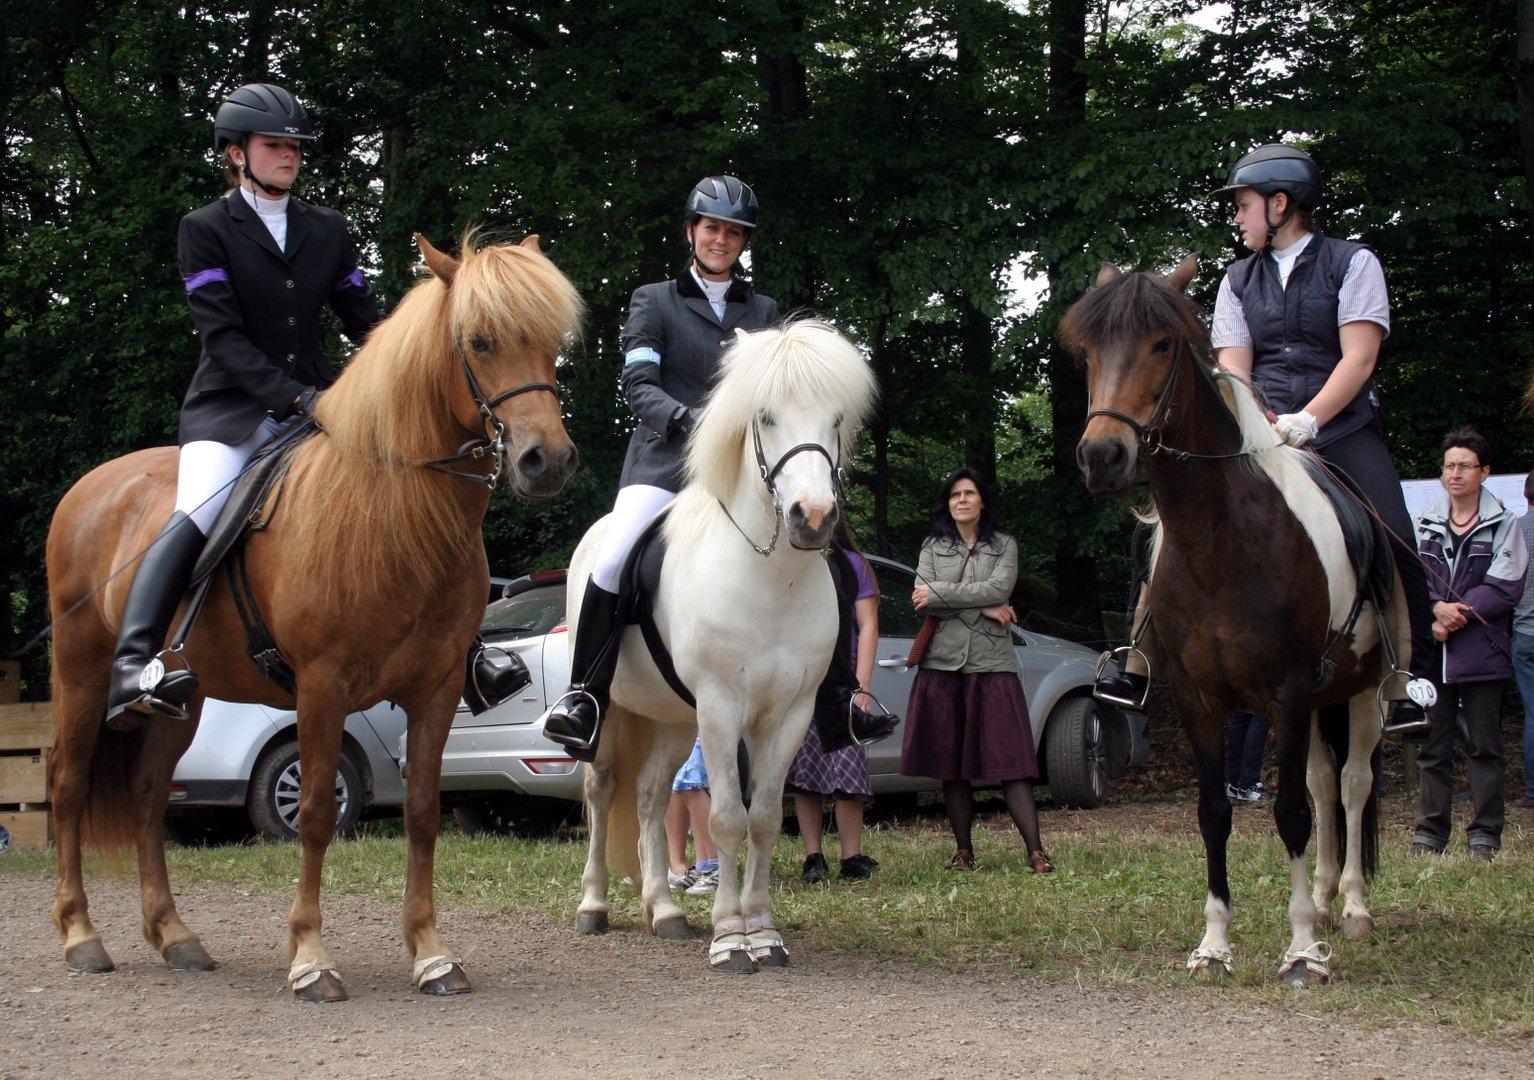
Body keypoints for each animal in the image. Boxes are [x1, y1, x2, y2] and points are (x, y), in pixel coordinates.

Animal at [43, 234, 579, 1006]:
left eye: (553, 344)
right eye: (479, 341)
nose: (548, 461)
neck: (390, 511)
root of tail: (90, 488)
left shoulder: (437, 689)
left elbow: (423, 812)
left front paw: (431, 954)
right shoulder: (323, 690)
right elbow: (320, 815)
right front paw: (310, 958)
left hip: (184, 701)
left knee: (147, 796)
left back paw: (175, 937)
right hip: (82, 676)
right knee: (67, 788)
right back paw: (82, 937)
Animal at [570, 319, 877, 969]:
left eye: (836, 419)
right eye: (766, 416)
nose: (813, 517)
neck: (770, 578)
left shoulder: (789, 714)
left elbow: (763, 818)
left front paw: (762, 930)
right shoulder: (719, 706)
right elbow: (728, 818)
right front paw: (731, 938)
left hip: (670, 718)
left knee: (650, 798)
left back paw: (664, 911)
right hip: (614, 711)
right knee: (602, 791)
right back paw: (594, 906)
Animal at [1061, 254, 1405, 987]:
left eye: (1162, 345)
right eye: (1090, 352)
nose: (1102, 456)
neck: (1223, 540)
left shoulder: (1289, 690)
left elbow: (1291, 813)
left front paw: (1301, 950)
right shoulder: (1200, 696)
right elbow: (1216, 812)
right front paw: (1215, 943)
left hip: (1365, 691)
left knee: (1352, 786)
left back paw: (1351, 908)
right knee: (1325, 782)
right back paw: (1325, 898)